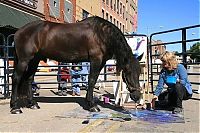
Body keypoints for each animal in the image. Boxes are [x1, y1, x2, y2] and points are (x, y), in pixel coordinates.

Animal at [10, 16, 142, 114]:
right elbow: (92, 80)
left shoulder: (101, 62)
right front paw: (92, 105)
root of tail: (18, 32)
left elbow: (93, 81)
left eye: (140, 72)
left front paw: (89, 103)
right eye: (128, 72)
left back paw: (32, 103)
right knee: (16, 78)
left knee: (29, 78)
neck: (101, 34)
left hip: (35, 59)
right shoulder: (95, 60)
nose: (137, 96)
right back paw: (15, 107)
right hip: (24, 60)